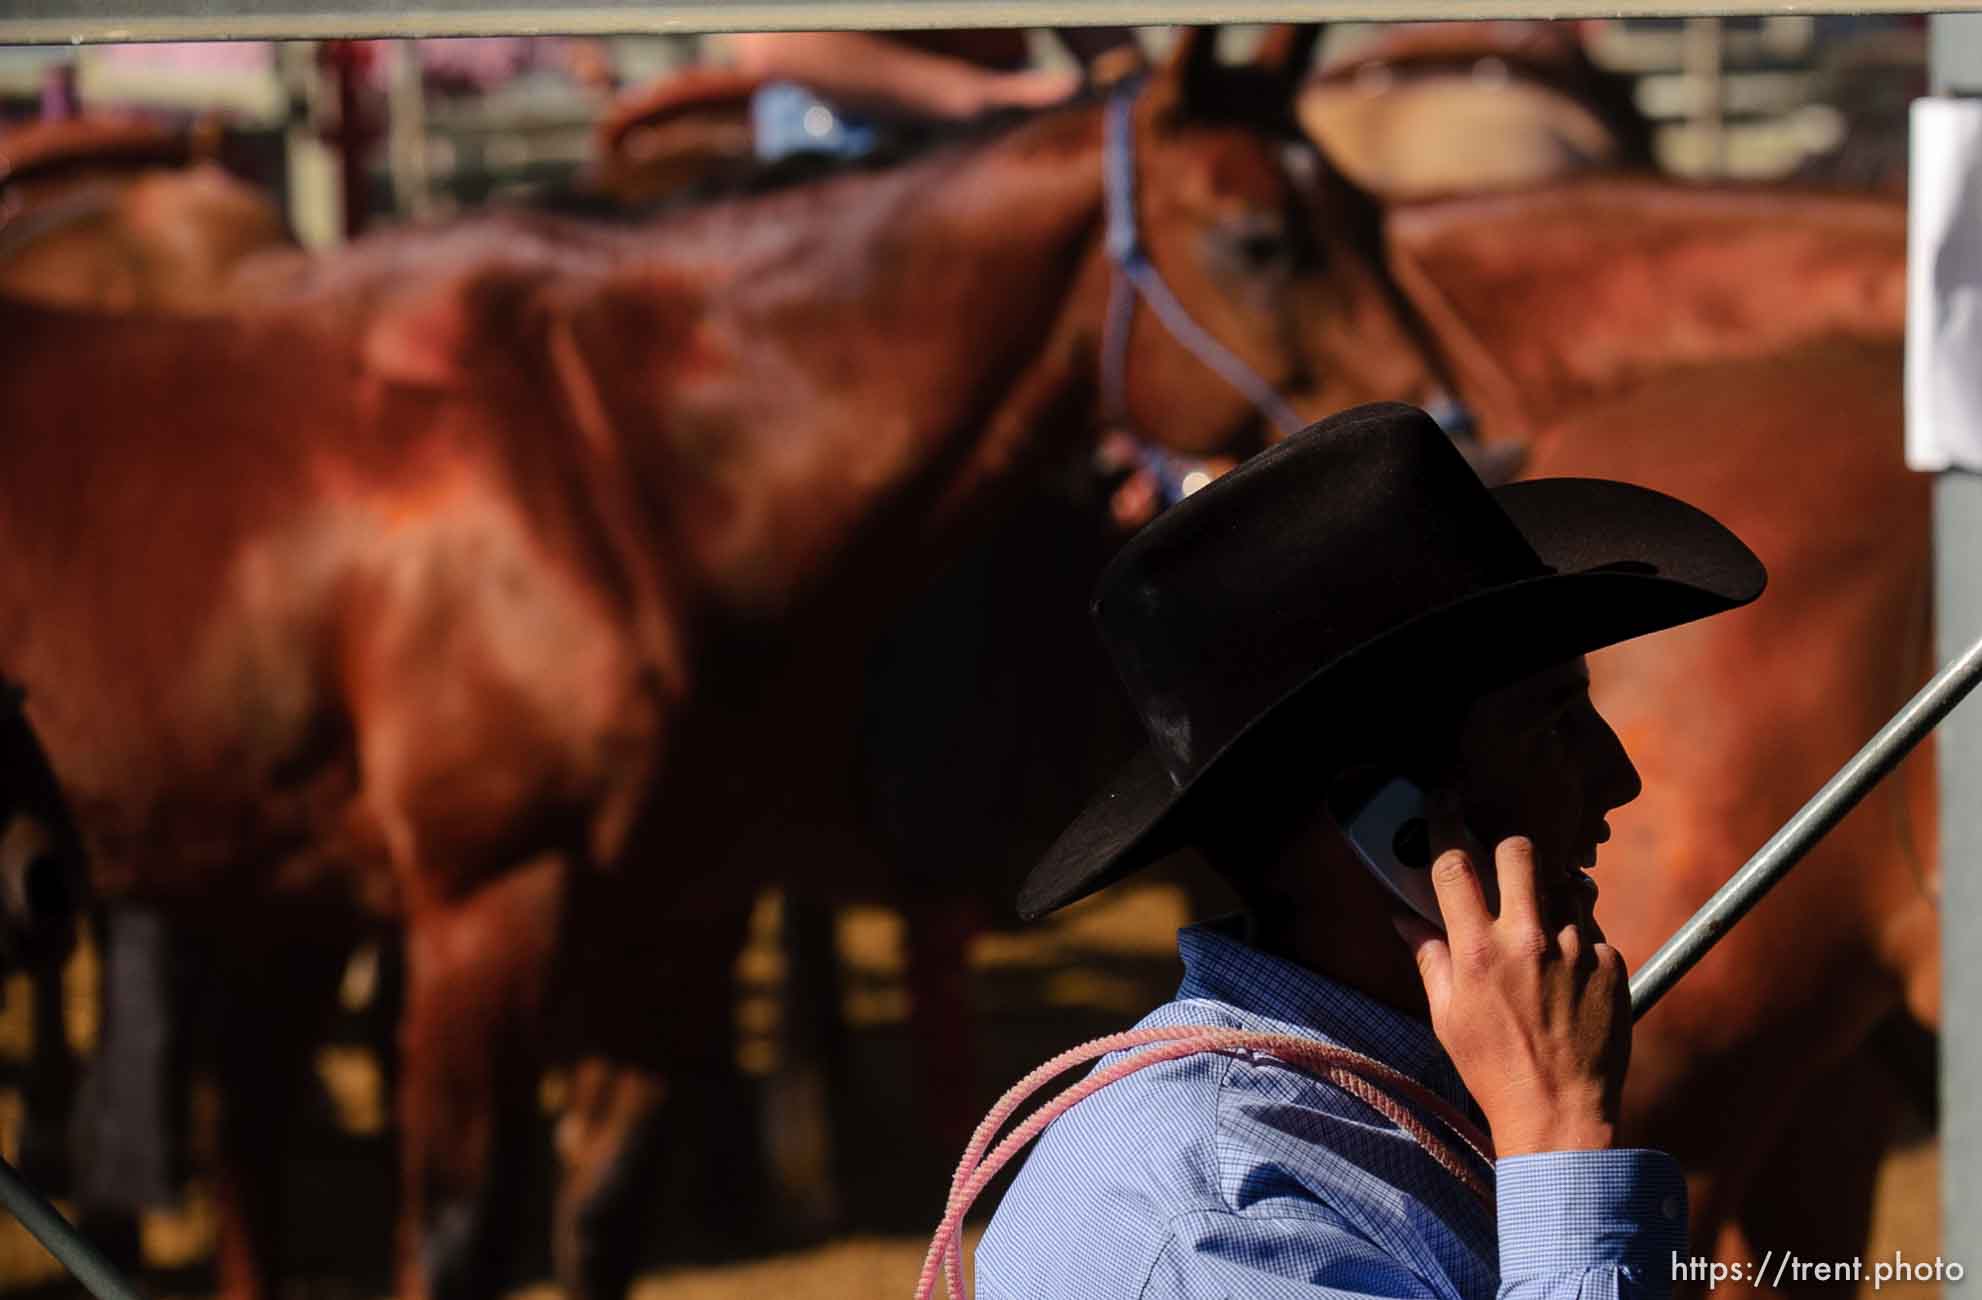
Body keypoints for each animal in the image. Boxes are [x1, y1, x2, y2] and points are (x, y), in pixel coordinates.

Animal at [0, 32, 1411, 1300]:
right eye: (1259, 238)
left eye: (1359, 207)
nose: (1436, 416)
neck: (609, 469)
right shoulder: (481, 912)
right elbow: (457, 1238)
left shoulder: (677, 912)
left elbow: (604, 1213)